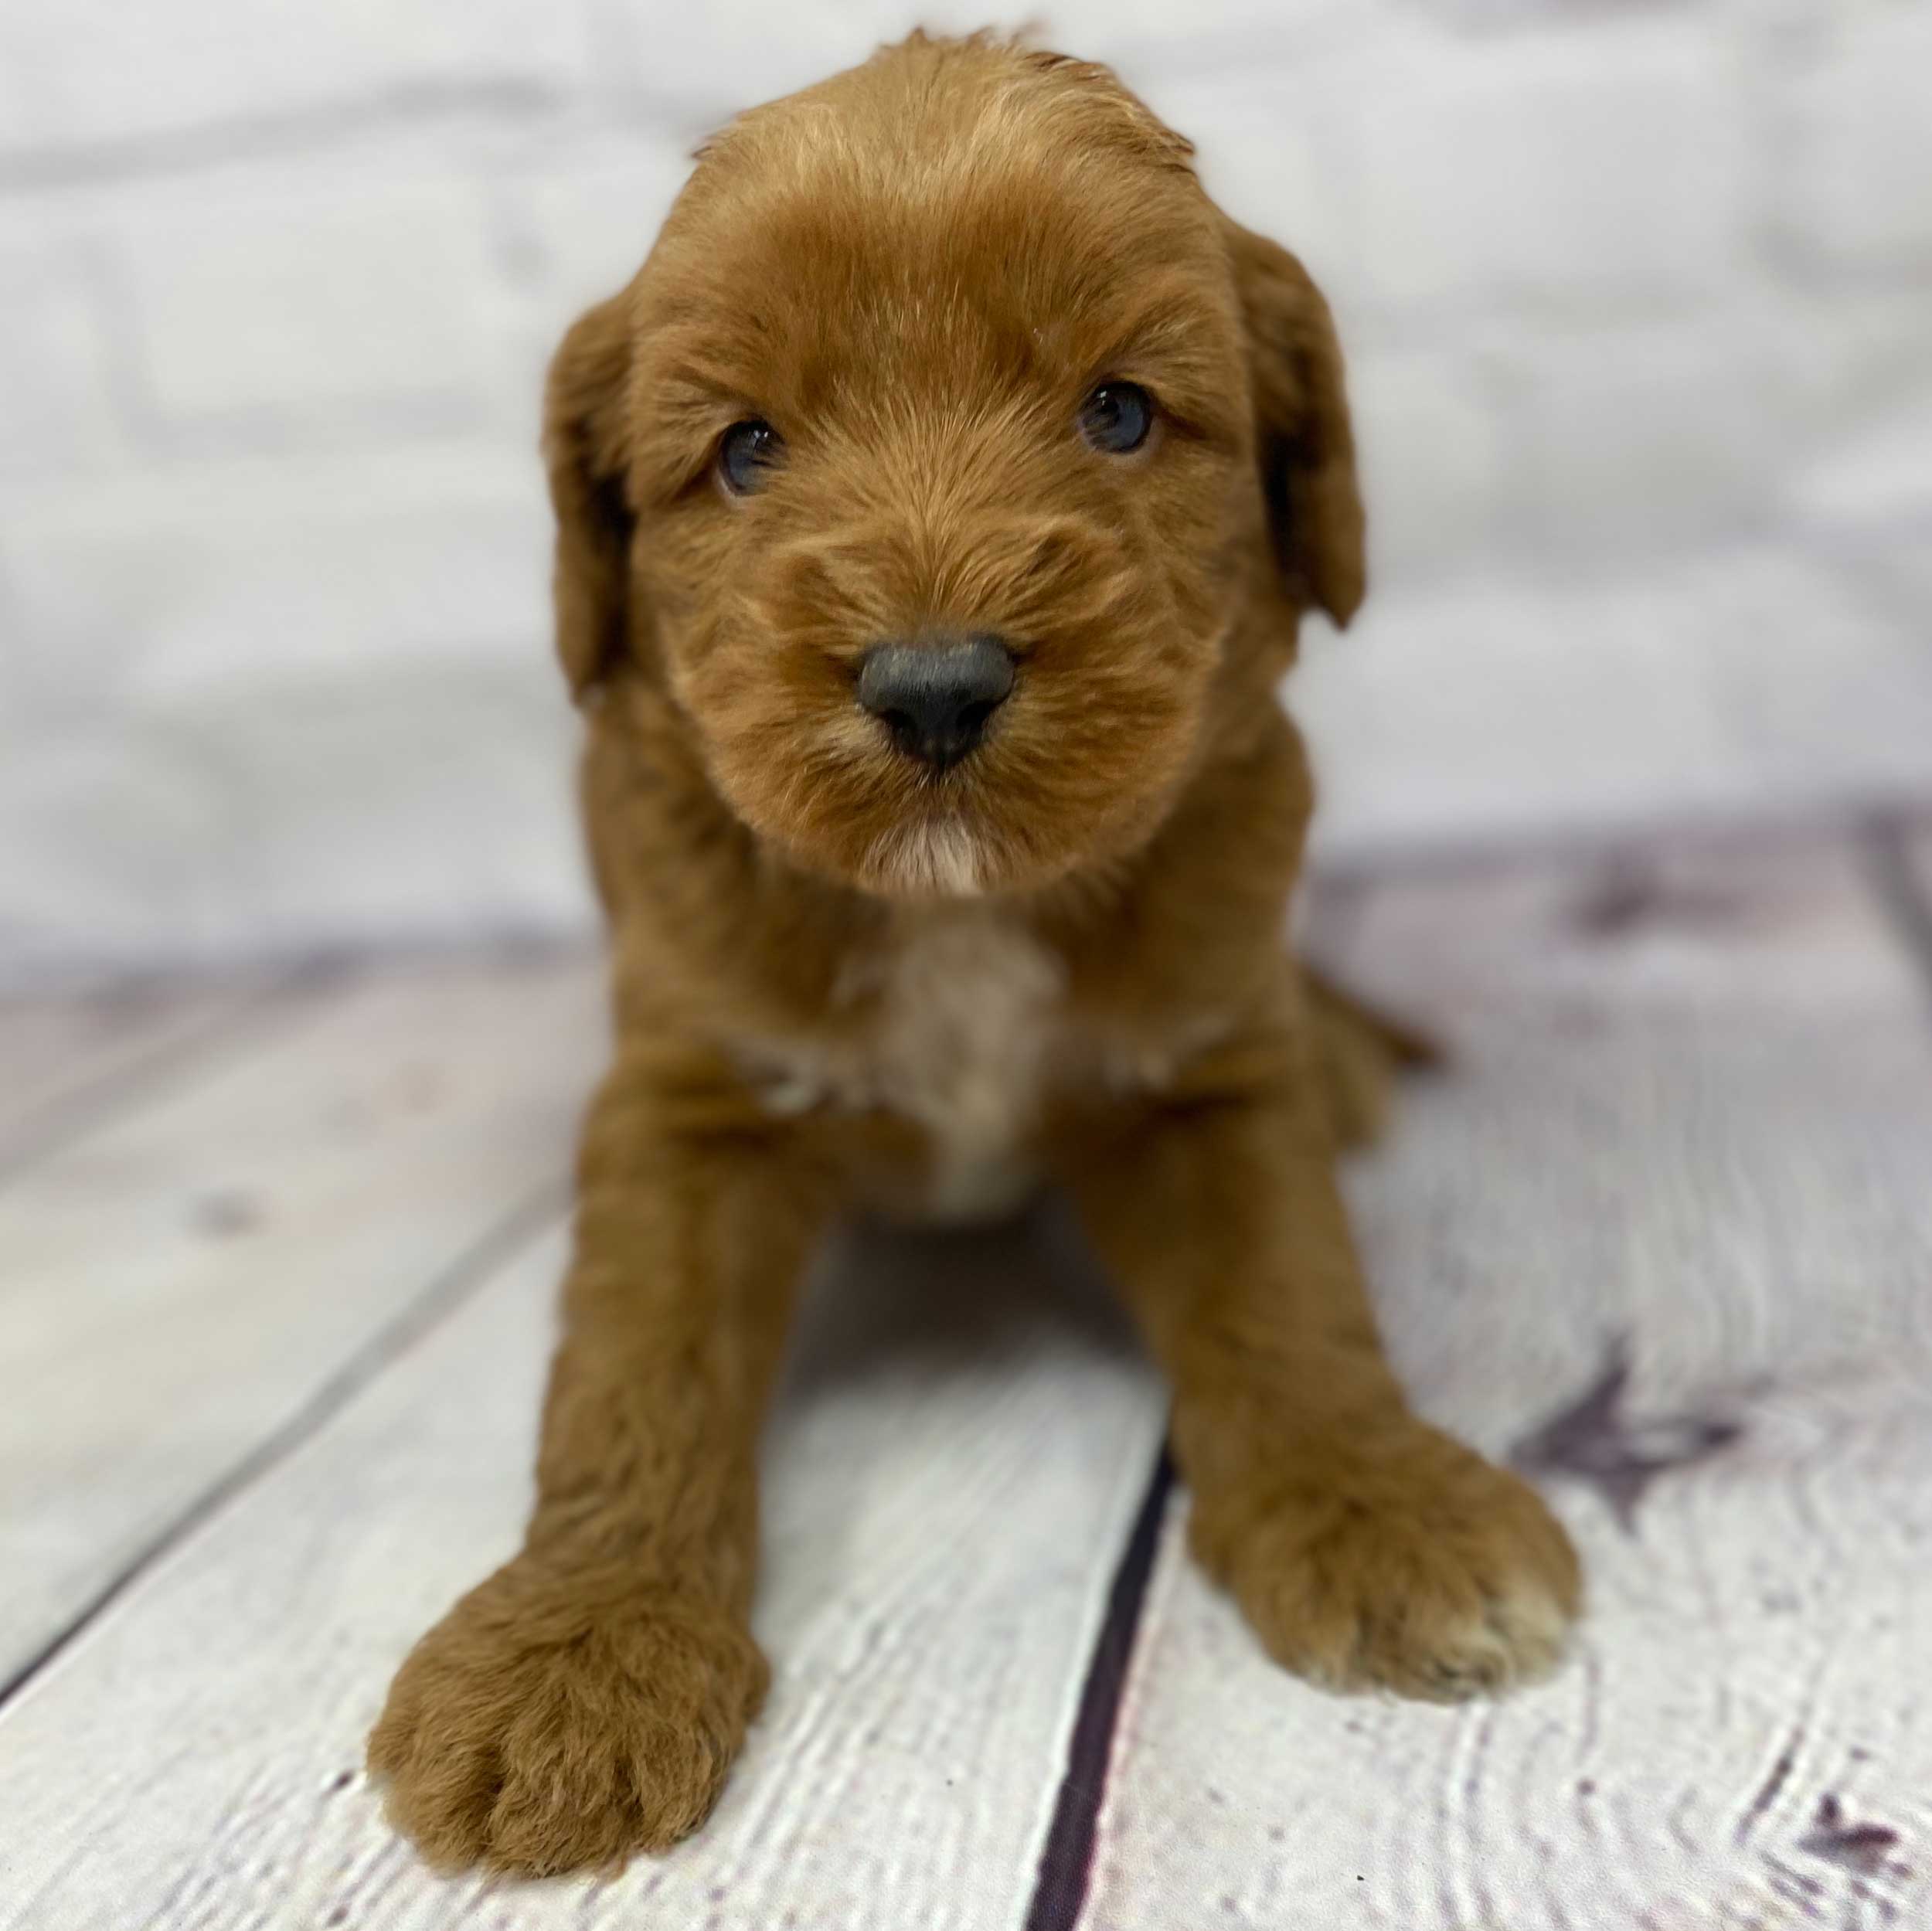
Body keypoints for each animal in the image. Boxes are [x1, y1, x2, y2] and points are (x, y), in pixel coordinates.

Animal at [369, 26, 1577, 1869]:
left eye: (1118, 410)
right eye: (744, 451)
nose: (933, 683)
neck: (958, 910)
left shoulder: (1208, 1067)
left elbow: (1290, 1292)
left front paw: (1381, 1502)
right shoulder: (686, 1096)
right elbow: (634, 1370)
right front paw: (575, 1650)